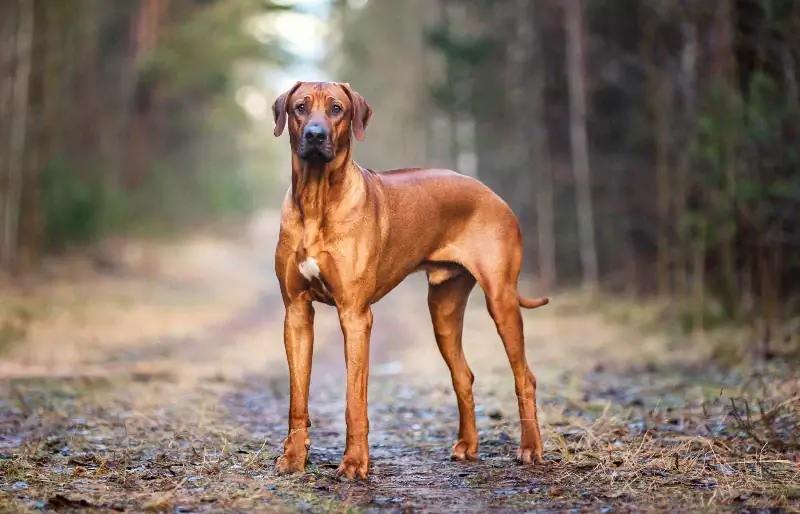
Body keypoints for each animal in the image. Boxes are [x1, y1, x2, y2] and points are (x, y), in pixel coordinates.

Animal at [272, 79, 548, 476]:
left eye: (337, 109)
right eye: (300, 107)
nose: (315, 134)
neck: (316, 198)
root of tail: (493, 194)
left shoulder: (355, 316)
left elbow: (354, 400)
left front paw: (354, 463)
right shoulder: (295, 313)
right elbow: (297, 398)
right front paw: (294, 457)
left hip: (501, 299)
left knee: (525, 376)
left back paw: (530, 448)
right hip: (443, 310)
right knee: (463, 375)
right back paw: (467, 445)